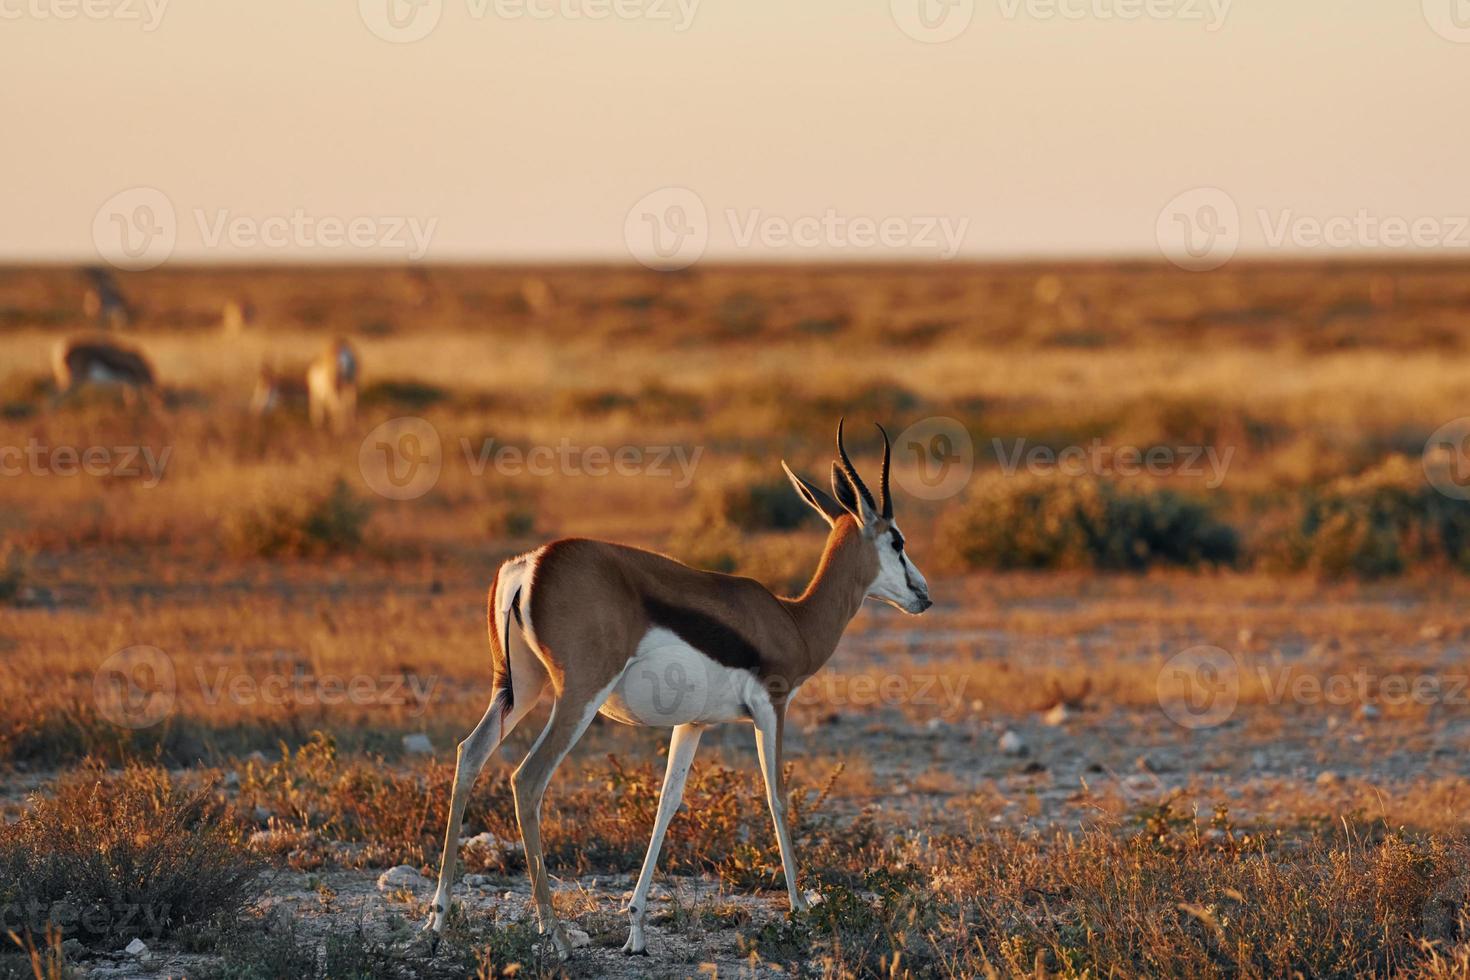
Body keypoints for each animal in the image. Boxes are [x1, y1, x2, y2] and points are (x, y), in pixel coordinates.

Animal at [426, 420, 929, 957]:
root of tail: (531, 563)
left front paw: (636, 930)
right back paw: (554, 934)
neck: (793, 621)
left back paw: (436, 922)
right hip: (578, 696)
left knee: (470, 753)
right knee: (527, 778)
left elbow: (668, 802)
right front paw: (800, 910)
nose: (923, 594)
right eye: (897, 540)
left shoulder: (694, 723)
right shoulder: (772, 706)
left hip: (520, 689)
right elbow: (777, 796)